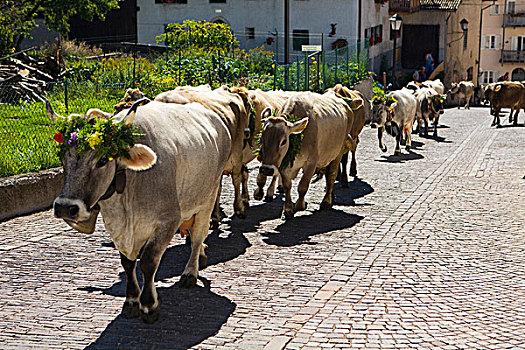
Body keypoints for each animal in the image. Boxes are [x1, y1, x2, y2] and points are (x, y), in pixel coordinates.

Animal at [47, 98, 231, 322]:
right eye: (62, 158)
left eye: (102, 160)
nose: (65, 207)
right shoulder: (119, 228)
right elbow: (128, 263)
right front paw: (132, 301)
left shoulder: (168, 220)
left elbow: (149, 261)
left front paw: (149, 305)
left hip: (208, 198)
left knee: (197, 237)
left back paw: (190, 273)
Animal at [256, 91, 360, 220]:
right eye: (261, 138)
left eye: (283, 141)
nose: (266, 170)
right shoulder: (284, 164)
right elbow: (287, 186)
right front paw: (288, 209)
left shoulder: (312, 162)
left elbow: (303, 186)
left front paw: (301, 205)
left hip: (338, 152)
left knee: (331, 176)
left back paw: (326, 201)